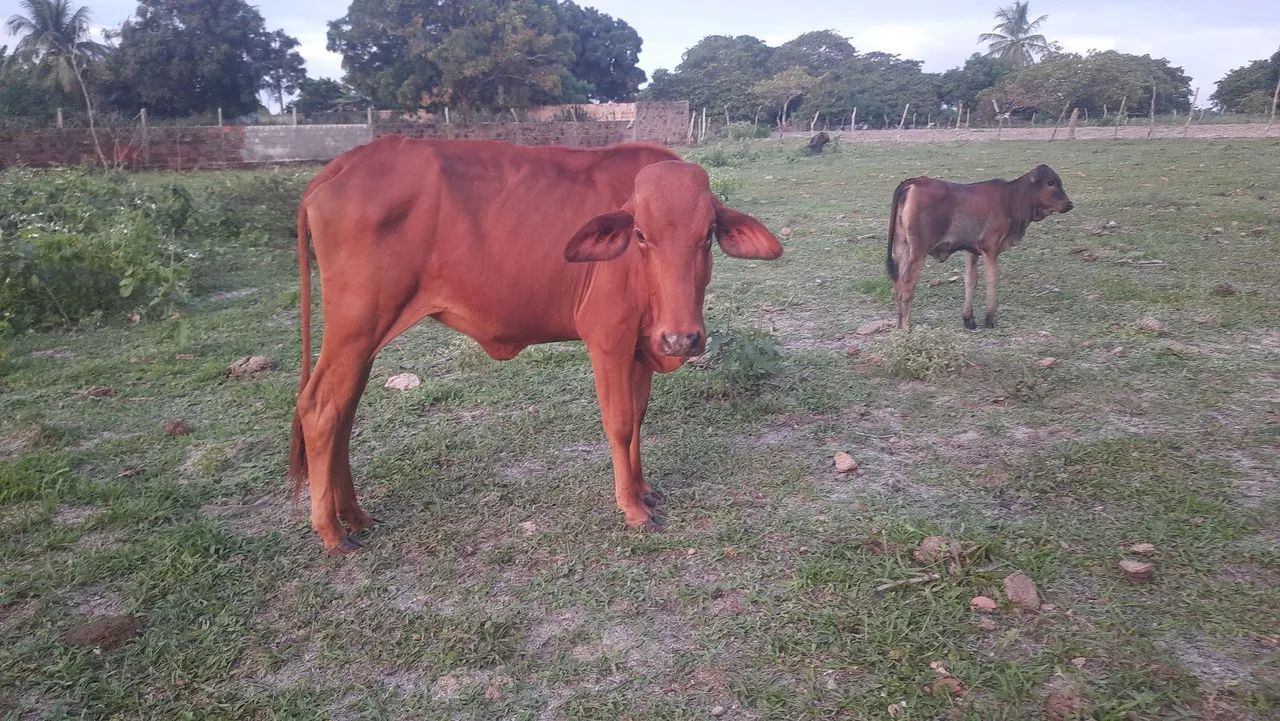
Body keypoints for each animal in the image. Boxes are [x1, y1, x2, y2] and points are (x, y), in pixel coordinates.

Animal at [289, 137, 783, 555]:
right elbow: (621, 423)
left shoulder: (642, 346)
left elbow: (640, 419)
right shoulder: (607, 339)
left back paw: (355, 516)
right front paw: (632, 508)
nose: (682, 337)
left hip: (363, 338)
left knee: (344, 413)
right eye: (642, 235)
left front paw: (643, 489)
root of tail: (342, 164)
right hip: (355, 326)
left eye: (708, 234)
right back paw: (331, 532)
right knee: (320, 409)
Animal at [885, 164, 1074, 329]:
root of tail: (914, 182)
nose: (1070, 204)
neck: (1012, 199)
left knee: (897, 283)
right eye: (1050, 183)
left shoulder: (971, 250)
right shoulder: (991, 248)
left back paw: (899, 324)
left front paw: (968, 319)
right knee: (907, 284)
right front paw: (989, 319)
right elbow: (992, 279)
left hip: (902, 248)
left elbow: (971, 280)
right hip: (918, 251)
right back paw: (907, 326)